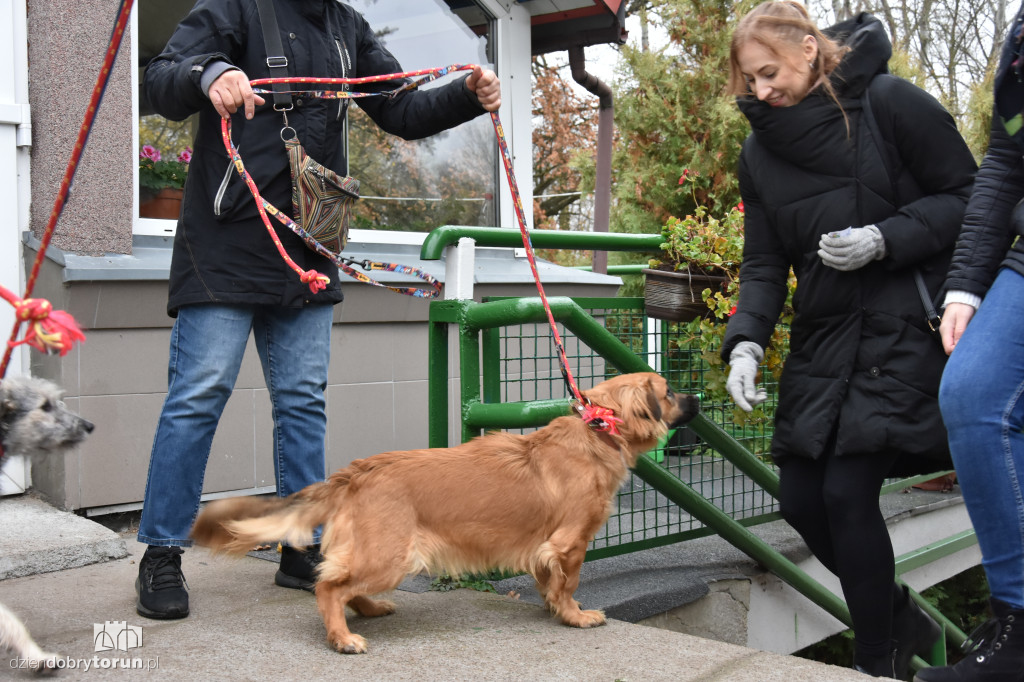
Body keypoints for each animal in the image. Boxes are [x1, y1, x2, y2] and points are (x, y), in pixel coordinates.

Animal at [191, 372, 696, 655]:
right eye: (670, 391)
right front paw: (574, 616)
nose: (698, 399)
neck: (598, 429)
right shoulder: (570, 543)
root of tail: (356, 472)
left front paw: (554, 608)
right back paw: (342, 638)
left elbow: (548, 582)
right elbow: (568, 584)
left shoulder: (545, 548)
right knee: (329, 587)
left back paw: (369, 608)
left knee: (341, 583)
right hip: (393, 555)